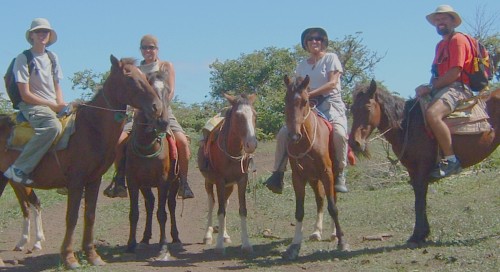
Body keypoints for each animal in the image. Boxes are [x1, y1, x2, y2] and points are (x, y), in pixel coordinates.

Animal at [0, 54, 164, 268]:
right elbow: (72, 217)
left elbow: (90, 215)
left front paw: (92, 255)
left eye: (144, 76)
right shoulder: (76, 182)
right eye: (129, 78)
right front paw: (69, 258)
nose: (157, 107)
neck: (91, 128)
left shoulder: (94, 180)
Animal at [125, 68, 180, 262]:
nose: (162, 122)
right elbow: (134, 214)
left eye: (168, 91)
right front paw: (131, 244)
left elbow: (162, 214)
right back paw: (144, 239)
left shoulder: (163, 182)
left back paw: (175, 238)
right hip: (145, 185)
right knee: (149, 204)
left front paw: (163, 247)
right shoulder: (133, 182)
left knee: (171, 205)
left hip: (174, 183)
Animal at [197, 92, 258, 254]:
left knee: (225, 202)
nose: (251, 144)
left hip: (229, 186)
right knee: (212, 203)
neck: (232, 151)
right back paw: (207, 236)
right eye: (238, 116)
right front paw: (219, 246)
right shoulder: (219, 180)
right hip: (209, 182)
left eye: (255, 114)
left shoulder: (242, 180)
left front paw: (247, 244)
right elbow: (220, 211)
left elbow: (242, 210)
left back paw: (224, 235)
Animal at [282, 75, 348, 260]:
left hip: (331, 176)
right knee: (320, 199)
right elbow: (299, 211)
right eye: (285, 100)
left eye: (305, 101)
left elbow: (333, 207)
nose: (293, 136)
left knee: (333, 198)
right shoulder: (298, 177)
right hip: (313, 178)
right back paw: (317, 231)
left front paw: (342, 242)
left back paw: (334, 234)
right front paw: (294, 246)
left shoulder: (327, 174)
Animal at [348, 80, 500, 246]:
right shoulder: (413, 170)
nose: (355, 143)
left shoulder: (422, 168)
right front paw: (422, 233)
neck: (408, 125)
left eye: (368, 108)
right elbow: (419, 198)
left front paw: (418, 235)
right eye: (352, 109)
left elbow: (420, 199)